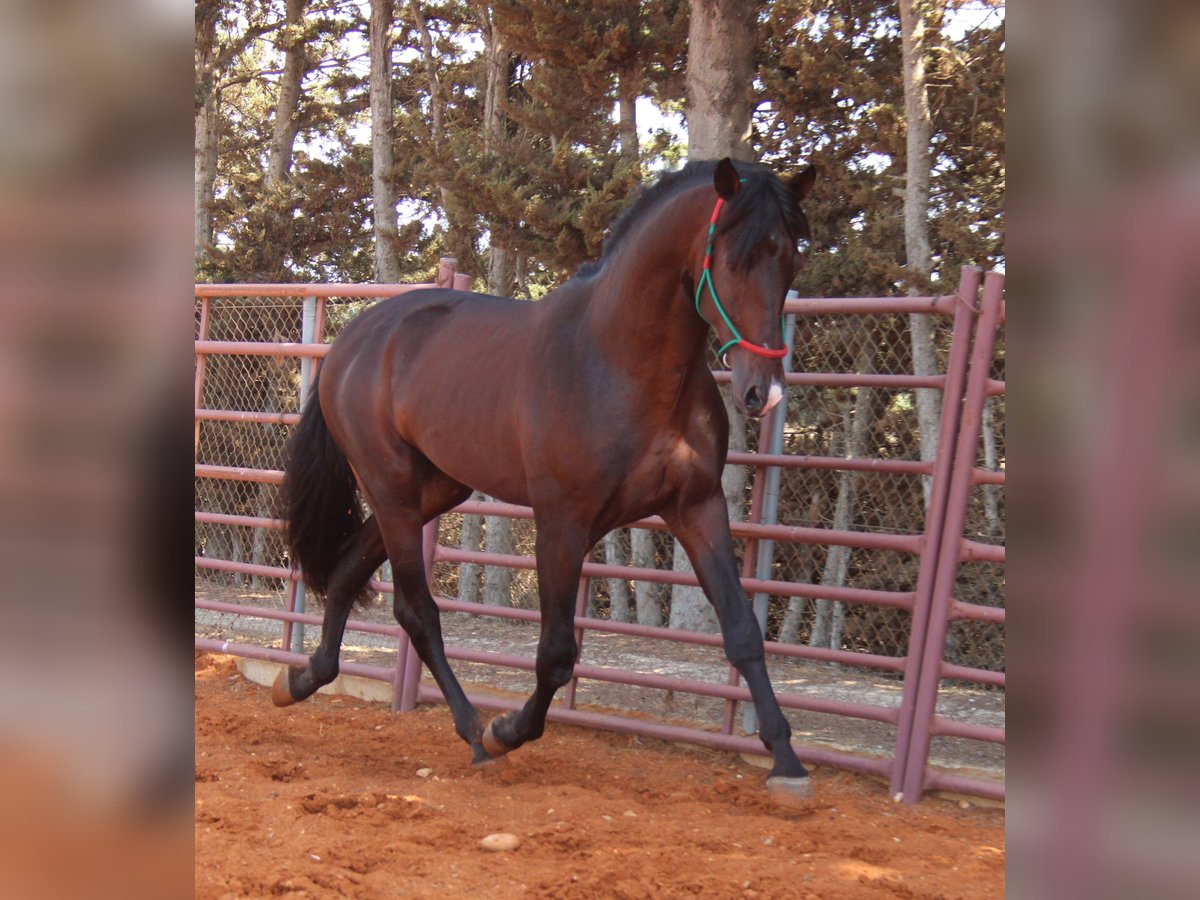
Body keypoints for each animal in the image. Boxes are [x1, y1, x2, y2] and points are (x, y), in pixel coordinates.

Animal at [274, 158, 816, 806]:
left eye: (791, 259)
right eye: (734, 260)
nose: (765, 391)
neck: (616, 363)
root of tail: (352, 342)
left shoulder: (698, 507)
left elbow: (742, 632)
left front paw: (787, 761)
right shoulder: (563, 522)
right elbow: (557, 653)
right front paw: (509, 730)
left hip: (432, 491)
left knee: (349, 568)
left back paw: (303, 679)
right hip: (392, 489)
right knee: (416, 610)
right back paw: (475, 732)